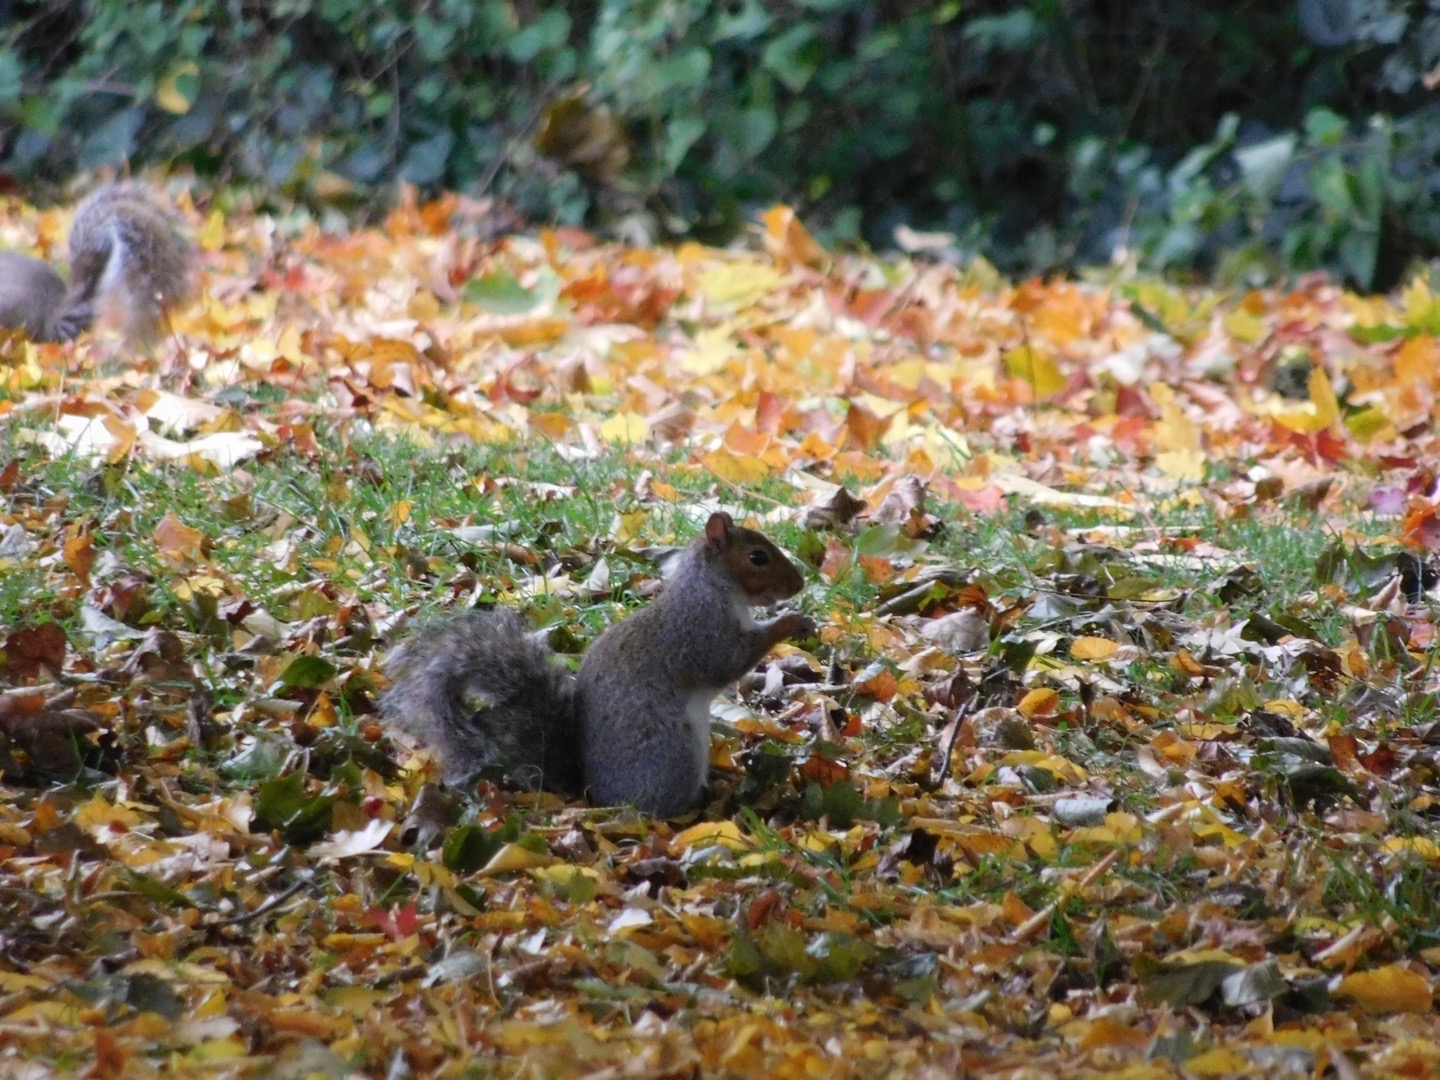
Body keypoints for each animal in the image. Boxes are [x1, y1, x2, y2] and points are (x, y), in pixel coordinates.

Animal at [382, 512, 816, 817]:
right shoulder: (700, 633)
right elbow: (728, 662)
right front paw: (791, 621)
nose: (798, 585)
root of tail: (594, 796)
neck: (713, 590)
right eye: (757, 558)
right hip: (671, 753)